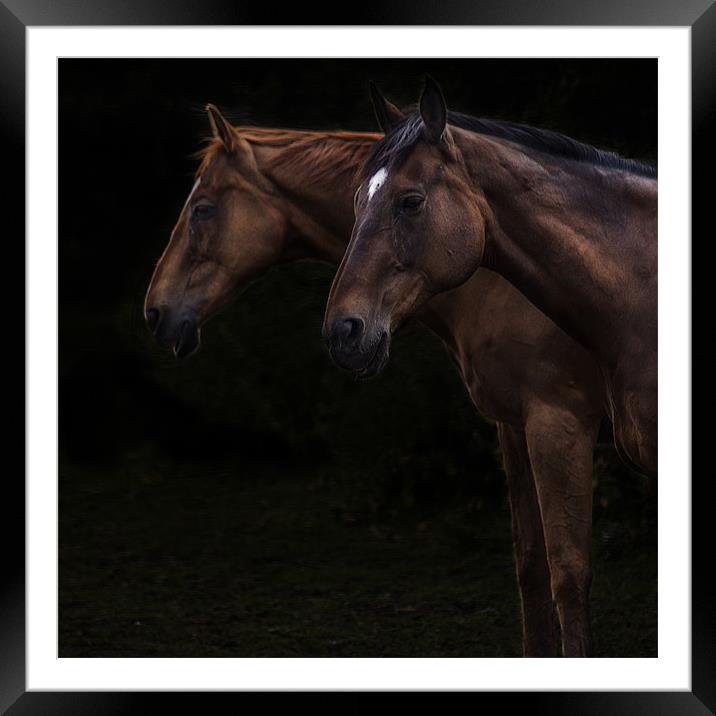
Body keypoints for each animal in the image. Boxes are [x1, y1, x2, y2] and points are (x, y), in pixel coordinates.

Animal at [147, 103, 616, 656]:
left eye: (202, 209)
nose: (155, 312)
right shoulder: (515, 427)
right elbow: (531, 568)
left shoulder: (558, 423)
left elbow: (568, 576)